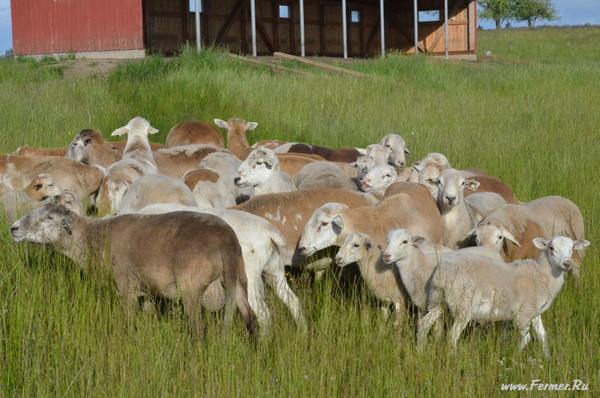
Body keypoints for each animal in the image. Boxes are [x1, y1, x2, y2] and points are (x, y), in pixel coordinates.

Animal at [10, 204, 256, 340]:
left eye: (49, 218)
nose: (13, 228)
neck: (93, 239)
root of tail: (226, 243)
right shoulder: (145, 290)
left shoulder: (126, 286)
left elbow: (128, 322)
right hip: (239, 279)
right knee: (251, 319)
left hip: (191, 285)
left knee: (198, 328)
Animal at [140, 202, 308, 332]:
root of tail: (269, 232)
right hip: (274, 270)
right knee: (294, 302)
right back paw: (303, 334)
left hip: (248, 277)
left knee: (263, 314)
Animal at [418, 235, 592, 356]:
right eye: (551, 248)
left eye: (572, 248)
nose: (567, 264)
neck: (542, 274)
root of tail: (442, 272)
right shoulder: (523, 314)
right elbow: (527, 338)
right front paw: (513, 358)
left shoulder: (535, 312)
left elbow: (543, 336)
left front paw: (547, 358)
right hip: (463, 305)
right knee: (452, 336)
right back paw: (454, 356)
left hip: (438, 300)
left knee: (424, 324)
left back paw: (420, 350)